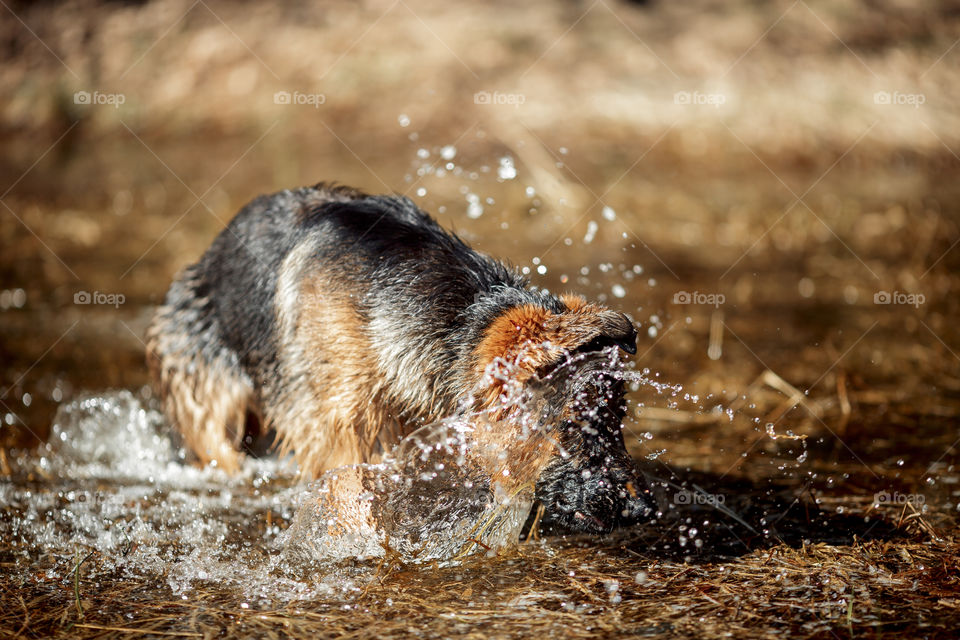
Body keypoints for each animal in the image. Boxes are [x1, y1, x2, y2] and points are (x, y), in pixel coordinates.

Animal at [144, 182, 652, 532]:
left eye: (619, 420)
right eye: (576, 424)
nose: (643, 509)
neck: (462, 318)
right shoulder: (340, 430)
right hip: (212, 408)